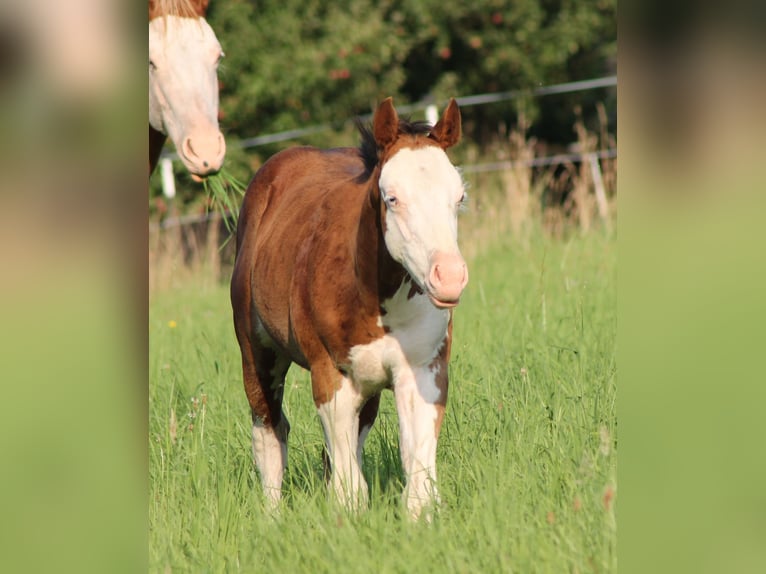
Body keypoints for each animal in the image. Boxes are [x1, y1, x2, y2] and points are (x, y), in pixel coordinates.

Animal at [230, 97, 468, 520]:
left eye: (458, 198)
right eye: (392, 198)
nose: (450, 278)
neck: (380, 304)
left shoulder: (424, 369)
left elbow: (418, 478)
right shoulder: (331, 374)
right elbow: (348, 488)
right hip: (257, 354)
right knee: (270, 430)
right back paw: (272, 516)